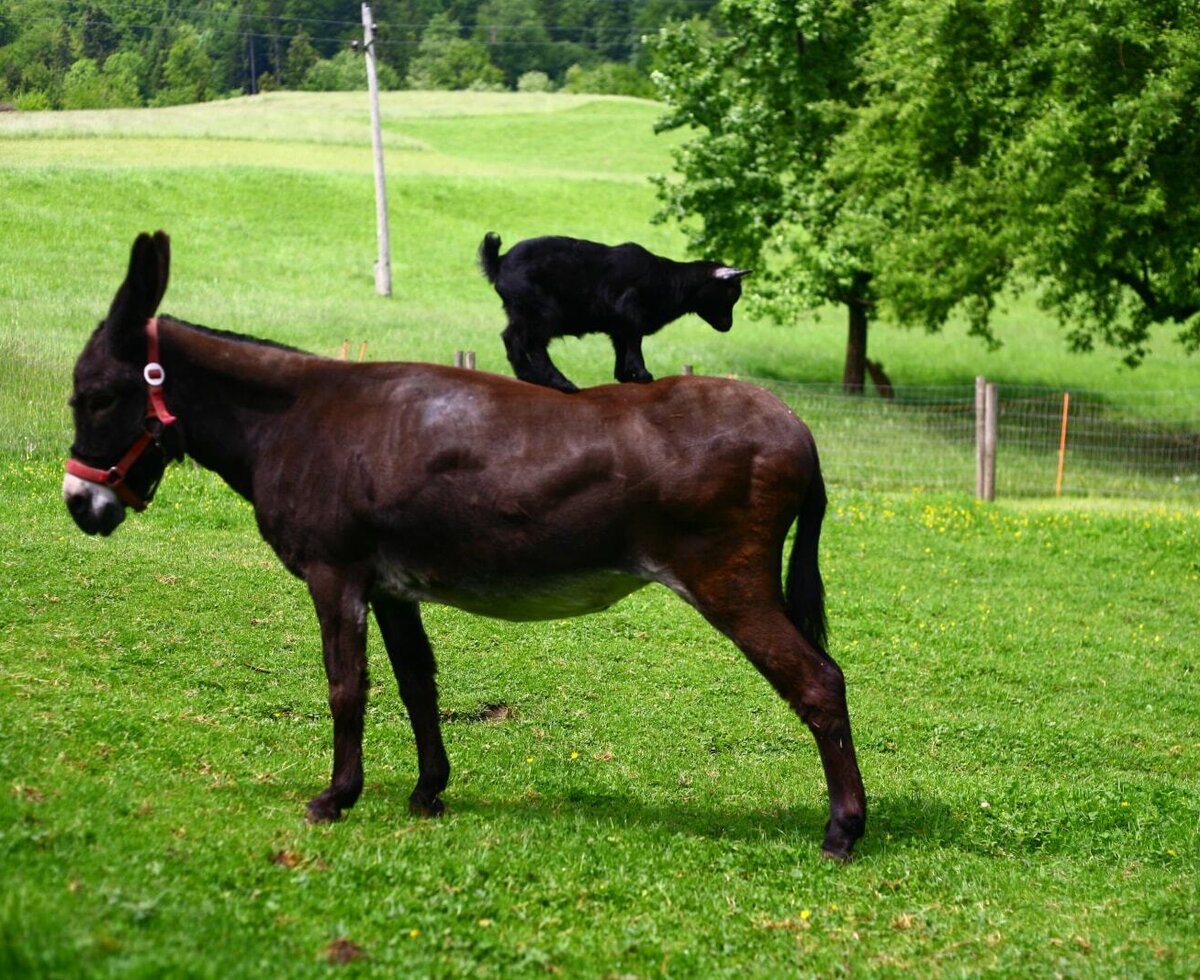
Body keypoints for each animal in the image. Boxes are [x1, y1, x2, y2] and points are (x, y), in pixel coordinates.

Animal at [479, 232, 750, 393]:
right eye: (730, 294)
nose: (727, 325)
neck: (667, 280)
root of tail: (498, 262)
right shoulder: (630, 314)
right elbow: (635, 345)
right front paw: (643, 375)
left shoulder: (618, 327)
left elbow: (622, 351)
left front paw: (626, 376)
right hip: (543, 312)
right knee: (534, 343)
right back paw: (560, 382)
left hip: (520, 311)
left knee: (511, 338)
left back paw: (528, 376)